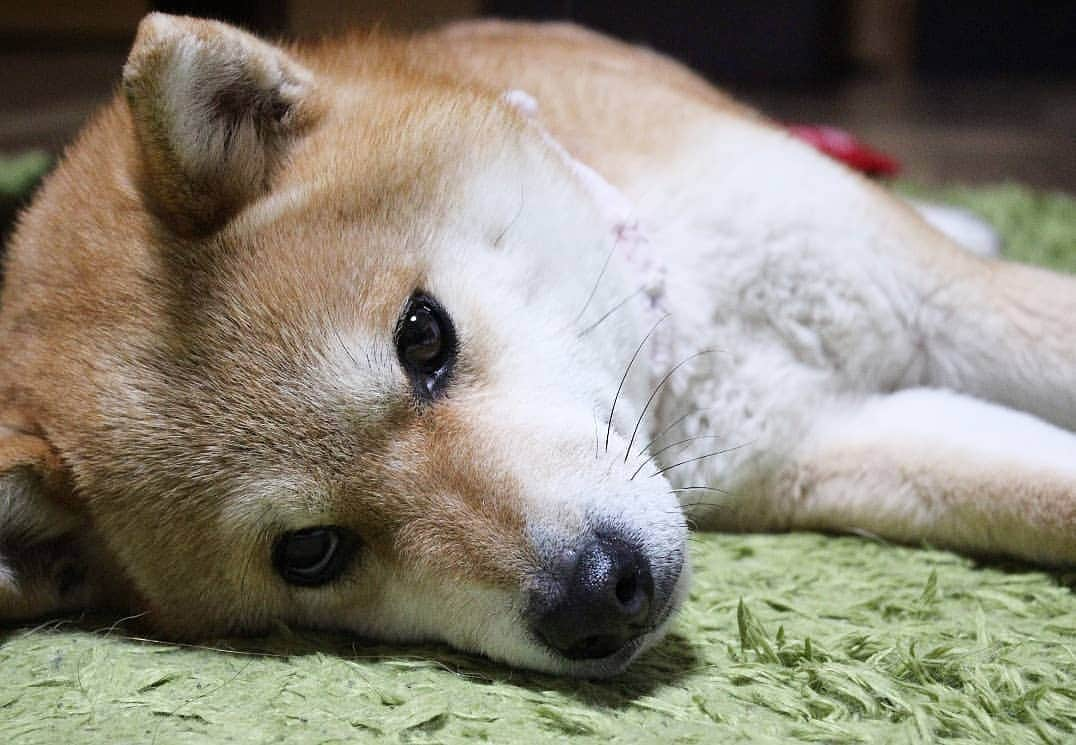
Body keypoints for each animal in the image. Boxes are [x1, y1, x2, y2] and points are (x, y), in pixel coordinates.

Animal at [2, 14, 1076, 676]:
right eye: (309, 551)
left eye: (423, 334)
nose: (597, 599)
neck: (689, 349)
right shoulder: (828, 447)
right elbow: (1039, 490)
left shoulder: (943, 301)